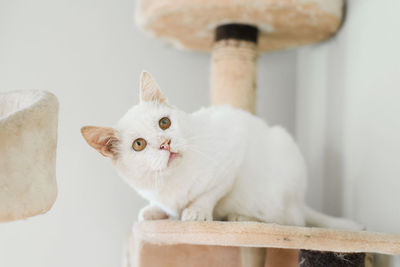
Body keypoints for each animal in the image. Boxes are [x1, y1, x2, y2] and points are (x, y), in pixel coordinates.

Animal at [81, 71, 362, 230]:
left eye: (164, 123)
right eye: (138, 144)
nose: (165, 143)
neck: (171, 181)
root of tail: (301, 200)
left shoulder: (233, 151)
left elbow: (211, 192)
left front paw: (196, 211)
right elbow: (162, 203)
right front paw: (154, 210)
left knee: (291, 221)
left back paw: (240, 218)